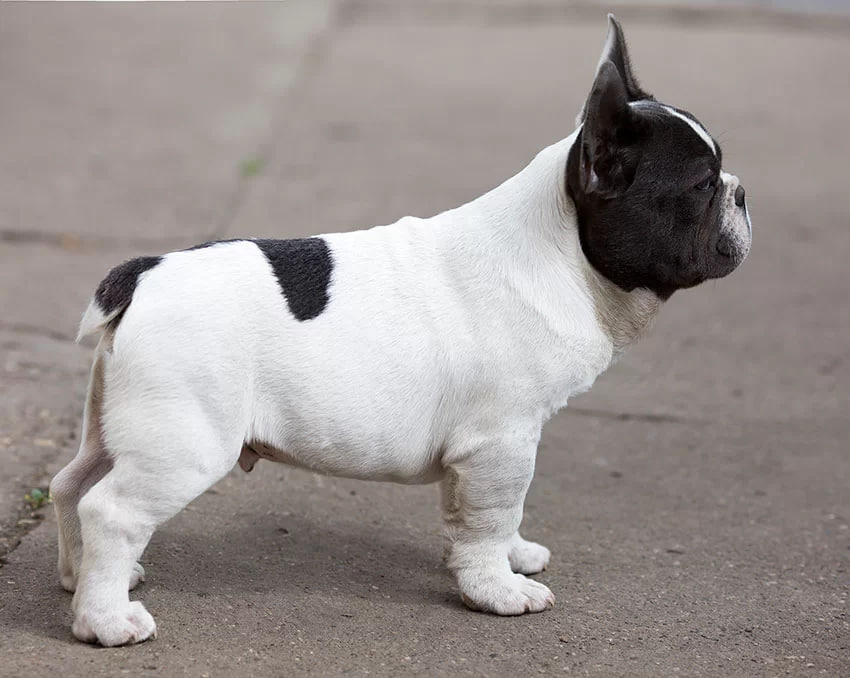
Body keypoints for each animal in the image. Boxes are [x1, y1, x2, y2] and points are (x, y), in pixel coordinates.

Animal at [49, 15, 748, 648]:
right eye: (702, 184)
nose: (742, 193)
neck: (563, 250)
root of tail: (144, 273)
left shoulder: (486, 452)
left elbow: (479, 517)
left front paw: (509, 557)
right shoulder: (501, 442)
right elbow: (492, 515)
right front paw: (497, 590)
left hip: (120, 425)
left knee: (71, 485)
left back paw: (83, 581)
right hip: (185, 439)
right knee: (110, 510)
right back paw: (105, 621)